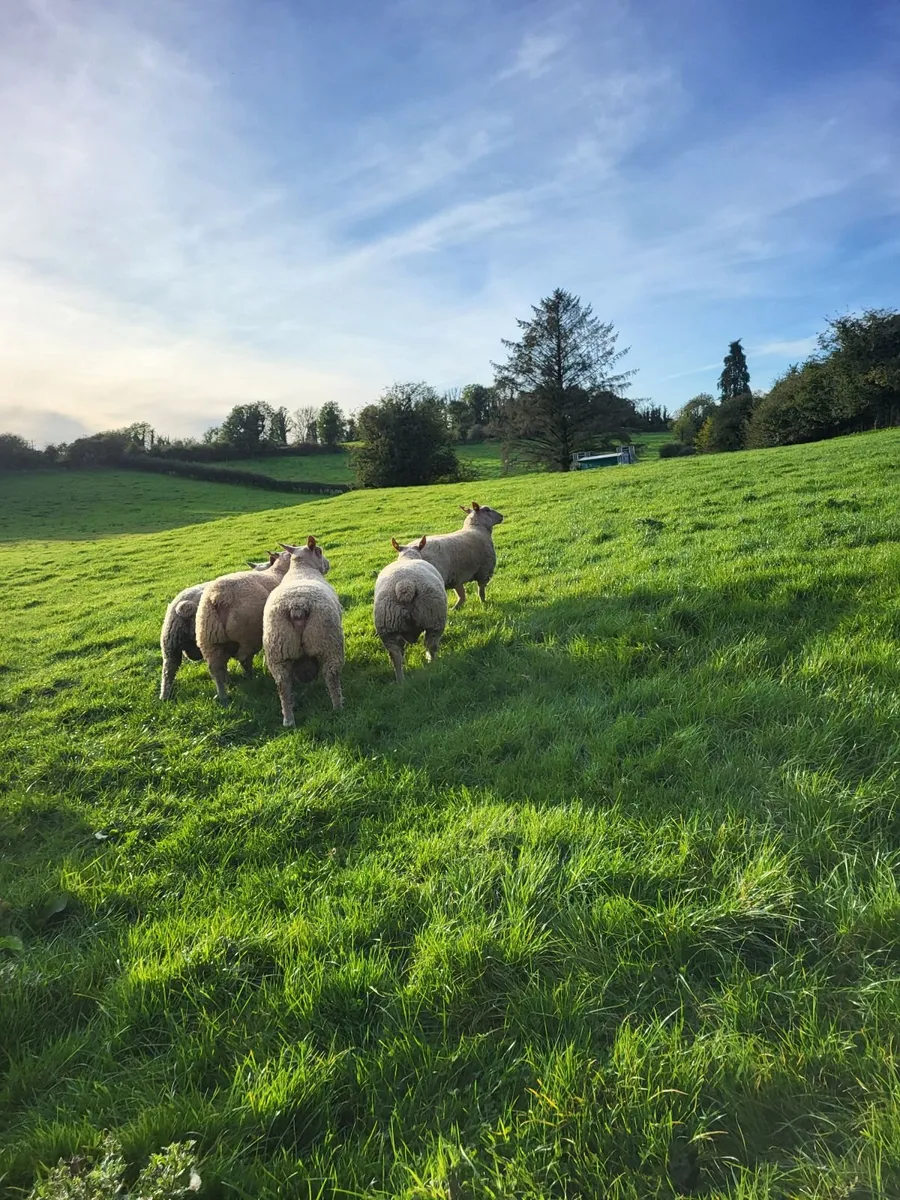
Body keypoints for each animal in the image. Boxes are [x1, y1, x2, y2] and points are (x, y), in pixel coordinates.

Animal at [195, 549, 293, 703]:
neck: (278, 571)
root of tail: (218, 597)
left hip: (208, 640)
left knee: (215, 668)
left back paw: (223, 696)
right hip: (248, 635)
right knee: (244, 658)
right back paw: (249, 676)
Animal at [263, 536, 345, 726]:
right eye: (320, 551)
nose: (328, 565)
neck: (301, 569)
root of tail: (297, 606)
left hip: (278, 650)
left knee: (283, 685)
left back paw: (288, 720)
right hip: (327, 641)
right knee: (331, 676)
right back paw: (338, 707)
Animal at [373, 535, 448, 683]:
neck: (407, 558)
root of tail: (405, 585)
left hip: (387, 628)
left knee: (395, 655)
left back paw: (401, 681)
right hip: (435, 619)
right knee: (431, 645)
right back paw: (433, 665)